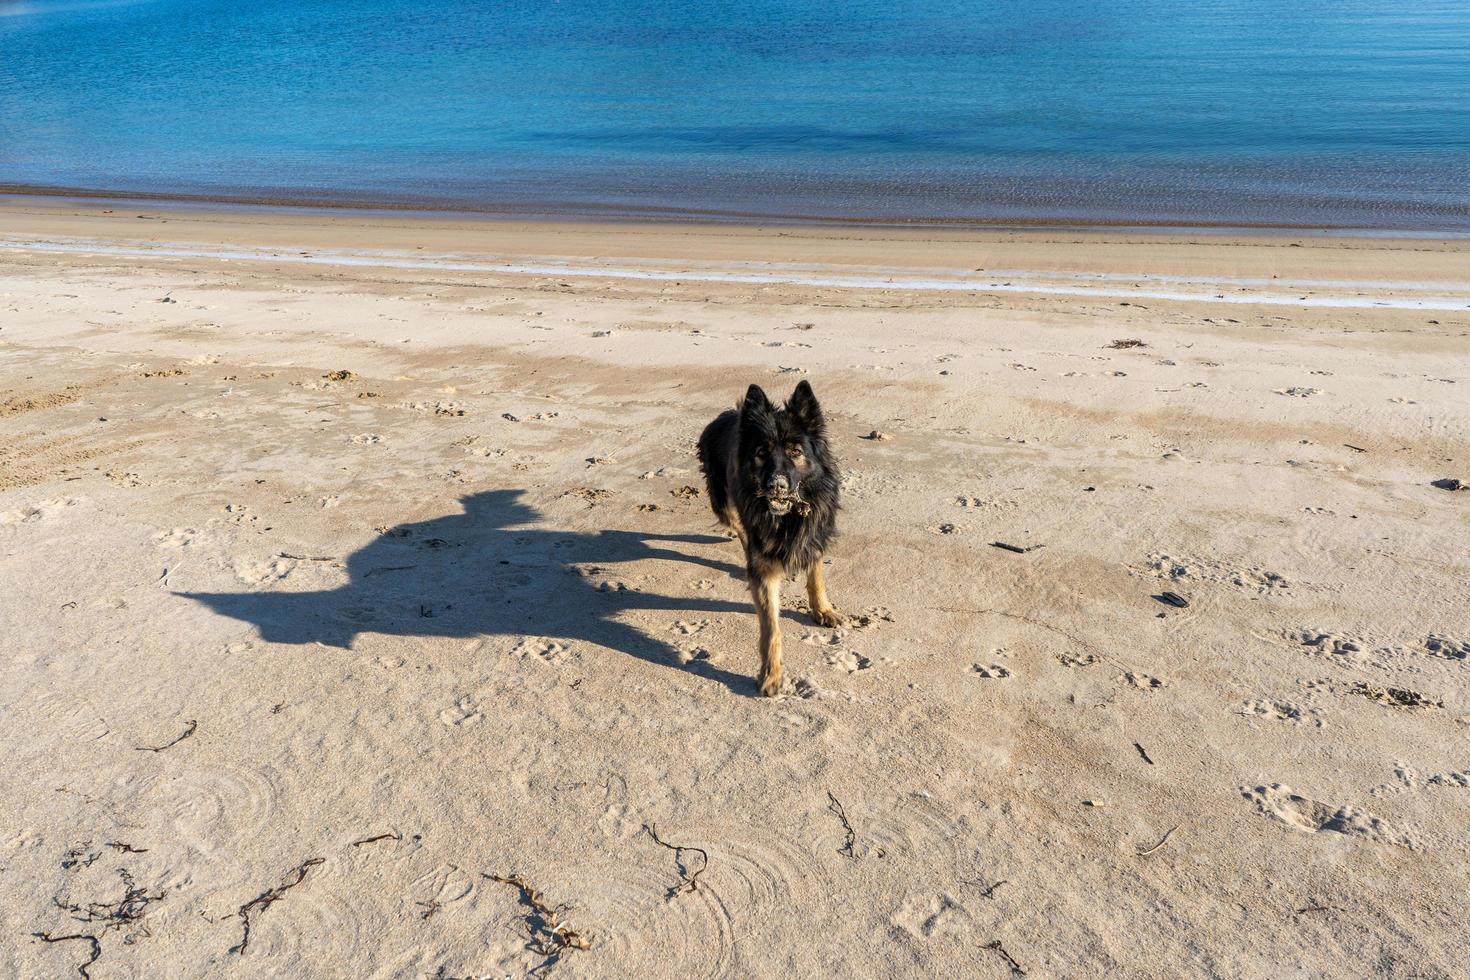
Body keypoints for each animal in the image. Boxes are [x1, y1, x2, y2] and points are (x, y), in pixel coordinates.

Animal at [696, 379, 840, 693]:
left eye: (795, 451)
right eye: (762, 452)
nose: (776, 485)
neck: (787, 518)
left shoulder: (814, 533)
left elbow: (816, 576)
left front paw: (822, 609)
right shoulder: (764, 569)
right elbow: (771, 627)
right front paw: (772, 675)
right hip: (724, 503)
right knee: (739, 527)